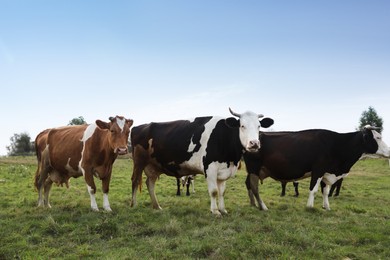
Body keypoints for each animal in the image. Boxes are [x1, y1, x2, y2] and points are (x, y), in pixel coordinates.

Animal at [129, 107, 272, 215]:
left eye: (259, 126)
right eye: (242, 126)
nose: (254, 143)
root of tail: (139, 127)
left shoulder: (223, 171)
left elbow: (222, 192)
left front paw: (223, 209)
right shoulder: (210, 168)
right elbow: (214, 191)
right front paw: (215, 211)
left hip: (153, 166)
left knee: (150, 183)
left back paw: (156, 206)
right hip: (139, 162)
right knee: (135, 181)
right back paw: (134, 204)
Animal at [244, 126, 390, 211]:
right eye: (378, 137)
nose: (389, 151)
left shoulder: (326, 173)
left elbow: (325, 191)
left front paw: (327, 207)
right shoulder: (318, 170)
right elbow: (313, 190)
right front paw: (310, 206)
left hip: (252, 170)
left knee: (248, 184)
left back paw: (253, 204)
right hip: (254, 168)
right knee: (254, 186)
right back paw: (263, 206)